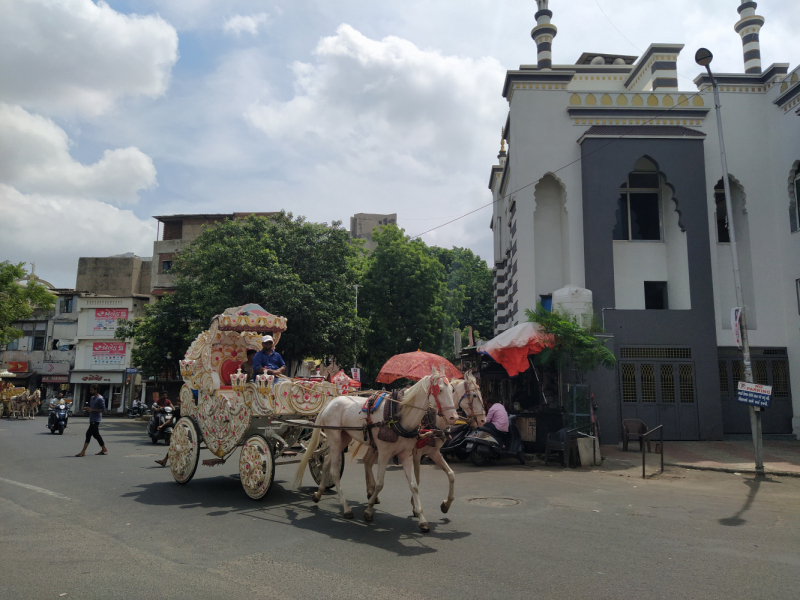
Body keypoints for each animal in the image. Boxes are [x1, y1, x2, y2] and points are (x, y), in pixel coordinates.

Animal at [294, 366, 456, 528]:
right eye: (439, 390)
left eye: (452, 389)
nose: (454, 417)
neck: (398, 415)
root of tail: (330, 403)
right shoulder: (385, 453)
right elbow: (380, 484)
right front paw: (369, 511)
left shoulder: (407, 454)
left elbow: (414, 485)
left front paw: (422, 518)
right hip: (334, 437)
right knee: (334, 471)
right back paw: (346, 508)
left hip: (344, 437)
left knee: (327, 460)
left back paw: (319, 493)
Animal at [364, 370, 488, 516]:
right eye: (474, 395)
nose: (483, 420)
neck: (433, 418)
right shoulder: (417, 453)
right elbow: (416, 479)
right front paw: (415, 506)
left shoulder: (434, 452)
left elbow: (451, 475)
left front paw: (446, 504)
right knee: (367, 461)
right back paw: (371, 493)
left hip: (375, 445)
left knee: (367, 461)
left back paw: (371, 493)